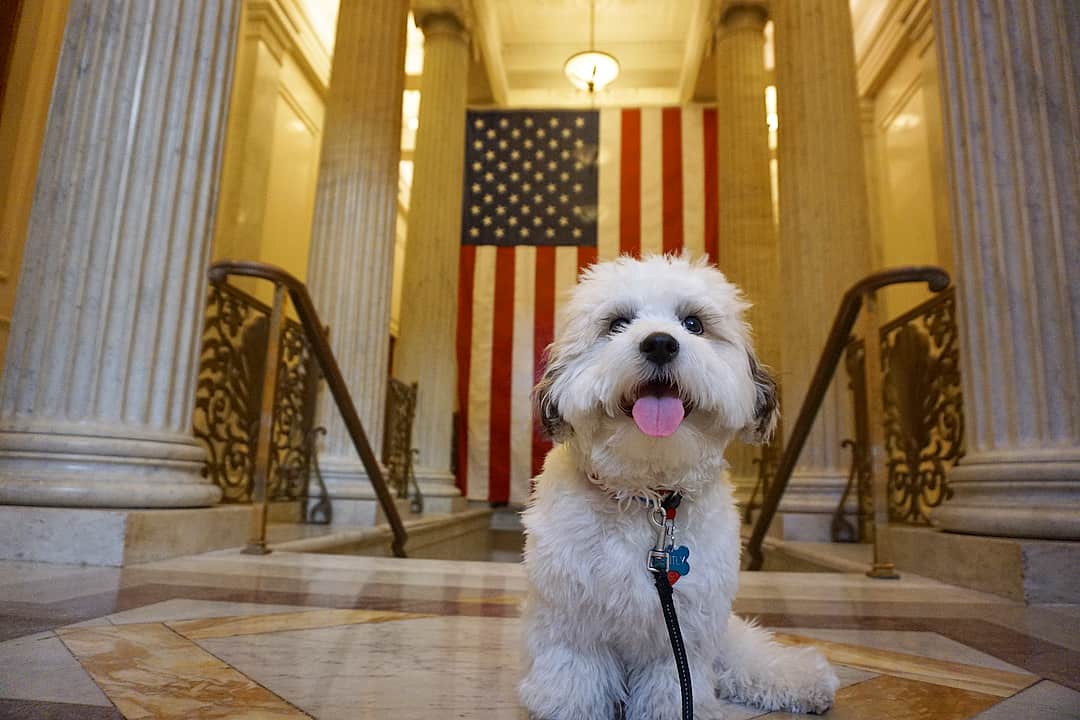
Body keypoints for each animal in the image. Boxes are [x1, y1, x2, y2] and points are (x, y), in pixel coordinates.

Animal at [518, 254, 838, 720]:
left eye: (693, 324)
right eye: (617, 323)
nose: (659, 344)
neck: (648, 497)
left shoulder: (683, 630)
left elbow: (672, 685)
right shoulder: (572, 616)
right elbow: (576, 677)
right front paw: (569, 707)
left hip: (723, 631)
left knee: (743, 653)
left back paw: (803, 679)